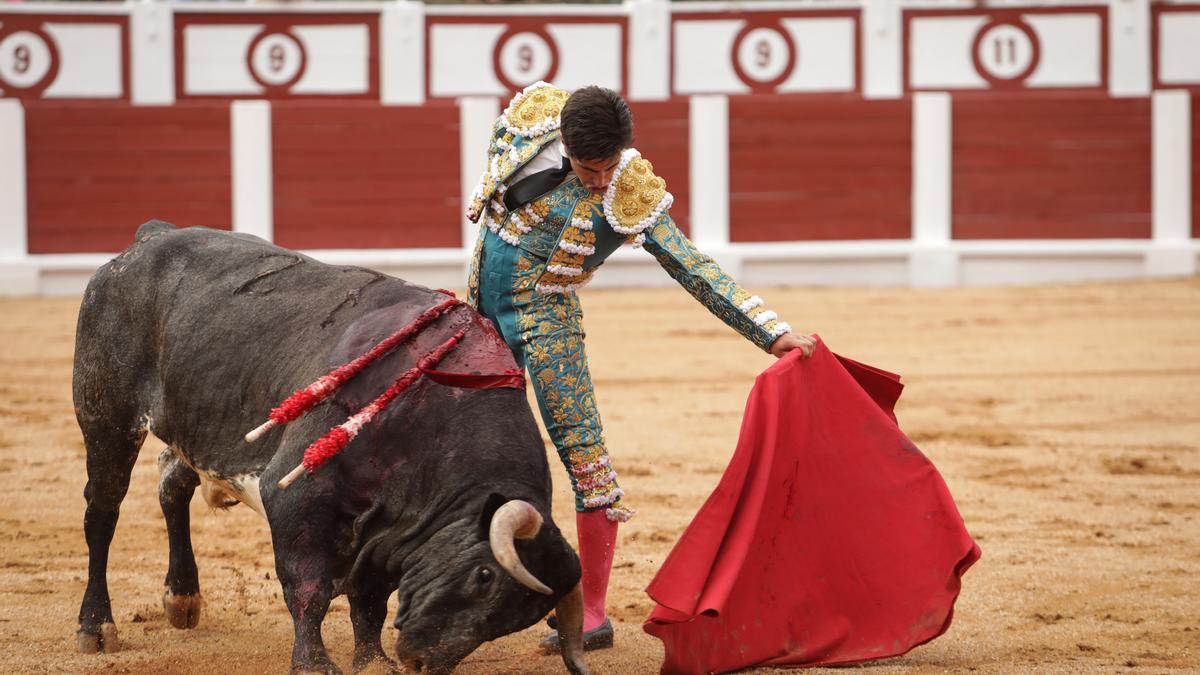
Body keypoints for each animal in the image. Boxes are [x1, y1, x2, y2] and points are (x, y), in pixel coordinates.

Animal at [72, 222, 588, 672]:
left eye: (512, 623)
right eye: (484, 578)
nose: (422, 661)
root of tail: (152, 237)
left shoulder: (387, 527)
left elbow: (369, 600)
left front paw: (373, 662)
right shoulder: (297, 498)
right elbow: (309, 587)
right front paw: (314, 664)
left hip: (192, 424)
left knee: (172, 484)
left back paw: (181, 599)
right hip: (107, 417)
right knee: (102, 514)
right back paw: (95, 627)